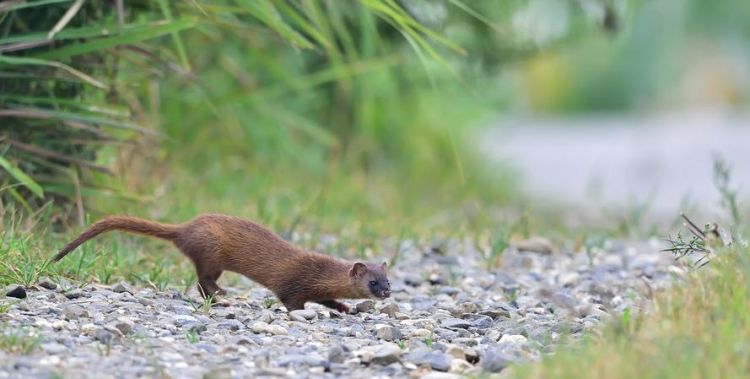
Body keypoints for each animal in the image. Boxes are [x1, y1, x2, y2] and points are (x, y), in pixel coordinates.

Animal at [51, 214, 394, 312]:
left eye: (388, 280)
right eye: (372, 282)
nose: (386, 293)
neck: (321, 272)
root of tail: (186, 227)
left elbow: (328, 300)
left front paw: (344, 308)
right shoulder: (294, 282)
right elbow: (290, 299)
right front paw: (300, 311)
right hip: (210, 251)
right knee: (202, 279)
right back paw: (222, 295)